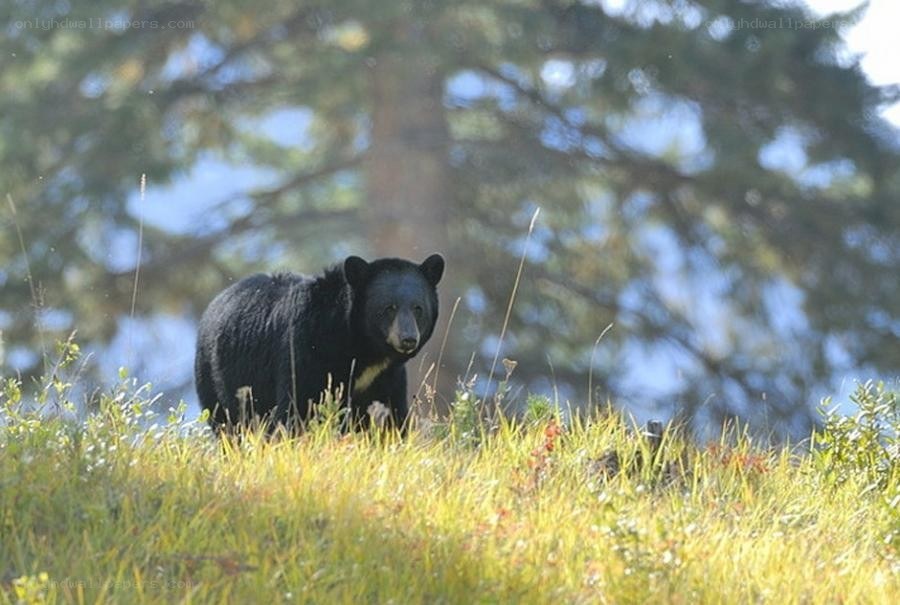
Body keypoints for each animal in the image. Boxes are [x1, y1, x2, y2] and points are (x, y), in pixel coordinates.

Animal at [194, 254, 444, 433]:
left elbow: (390, 414)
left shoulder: (387, 376)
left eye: (418, 308)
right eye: (389, 308)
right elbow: (298, 407)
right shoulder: (308, 349)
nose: (408, 339)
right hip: (217, 376)